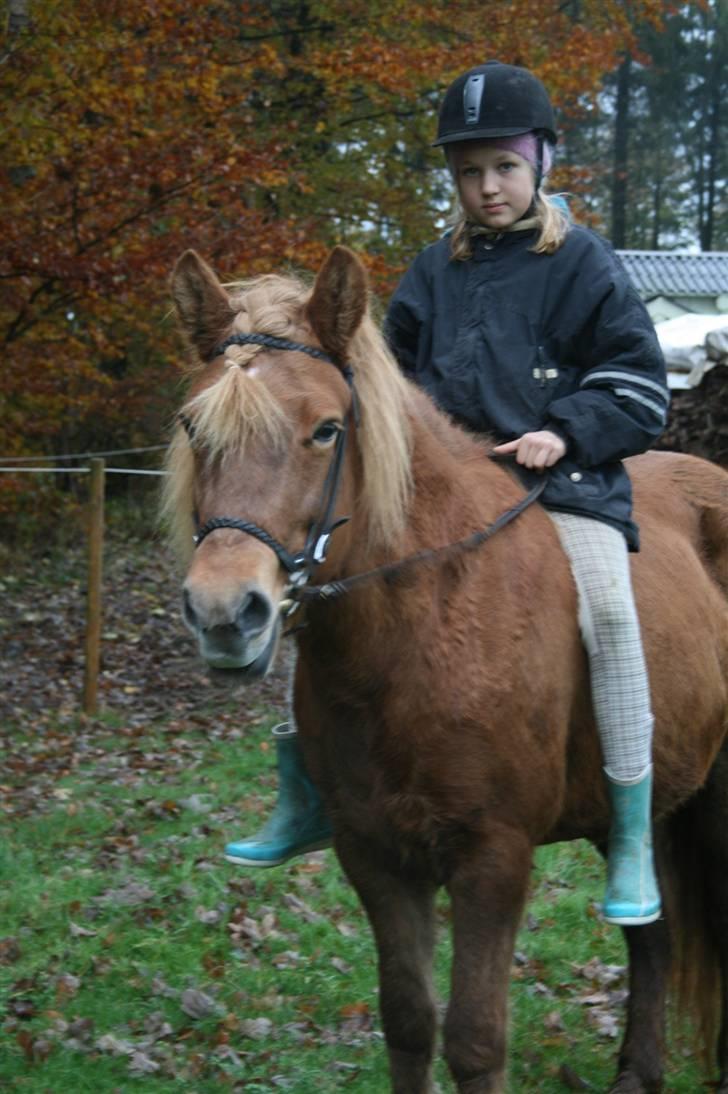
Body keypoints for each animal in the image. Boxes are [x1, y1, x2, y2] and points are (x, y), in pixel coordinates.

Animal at [164, 248, 726, 1094]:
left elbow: (474, 1038)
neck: (424, 628)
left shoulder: (492, 858)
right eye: (194, 426)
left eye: (326, 429)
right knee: (650, 933)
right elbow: (407, 1020)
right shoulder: (375, 854)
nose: (227, 613)